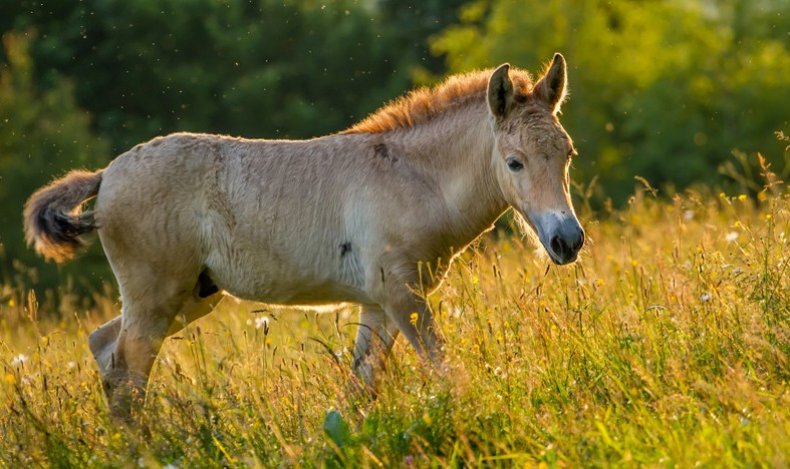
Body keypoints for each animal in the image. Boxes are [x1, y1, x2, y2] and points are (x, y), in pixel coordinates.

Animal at [24, 53, 584, 418]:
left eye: (567, 153)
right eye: (514, 162)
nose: (567, 241)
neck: (414, 179)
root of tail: (106, 175)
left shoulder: (379, 304)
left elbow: (359, 391)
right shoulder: (403, 298)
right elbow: (444, 370)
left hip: (191, 295)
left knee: (105, 350)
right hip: (156, 296)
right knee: (127, 371)